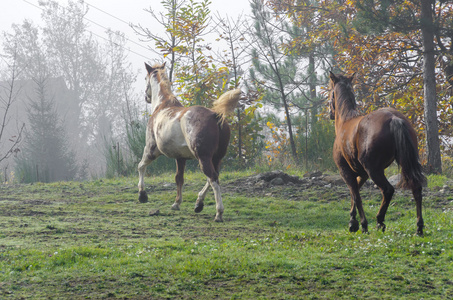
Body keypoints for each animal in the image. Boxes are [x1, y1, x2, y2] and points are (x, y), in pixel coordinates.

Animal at [139, 62, 242, 223]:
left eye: (145, 78)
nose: (146, 97)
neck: (163, 106)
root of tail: (215, 114)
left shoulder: (151, 149)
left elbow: (141, 166)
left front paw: (142, 195)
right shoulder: (180, 158)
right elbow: (179, 178)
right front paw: (176, 203)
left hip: (203, 158)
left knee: (213, 178)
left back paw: (218, 213)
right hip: (216, 158)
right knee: (214, 177)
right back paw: (199, 204)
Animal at [328, 72, 424, 234]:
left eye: (330, 92)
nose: (330, 113)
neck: (346, 121)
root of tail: (394, 118)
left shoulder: (346, 172)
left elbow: (356, 195)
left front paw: (361, 224)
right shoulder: (362, 174)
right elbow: (355, 192)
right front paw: (352, 221)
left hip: (374, 171)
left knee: (387, 190)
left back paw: (380, 221)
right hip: (404, 163)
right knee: (416, 187)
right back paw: (419, 227)